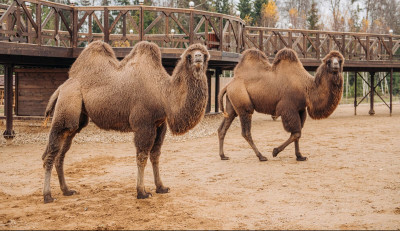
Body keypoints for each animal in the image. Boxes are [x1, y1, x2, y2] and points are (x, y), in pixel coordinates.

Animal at [41, 40, 209, 203]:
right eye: (189, 55)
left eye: (205, 55)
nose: (198, 57)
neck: (163, 93)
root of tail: (61, 87)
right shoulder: (143, 124)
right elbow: (142, 157)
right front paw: (142, 192)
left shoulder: (160, 125)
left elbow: (155, 155)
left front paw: (161, 187)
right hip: (67, 103)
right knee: (52, 151)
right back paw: (47, 196)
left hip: (78, 117)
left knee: (61, 152)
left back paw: (67, 190)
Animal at [217, 47, 346, 162]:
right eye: (329, 61)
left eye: (340, 60)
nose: (335, 65)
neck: (307, 87)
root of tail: (228, 84)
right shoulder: (288, 108)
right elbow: (296, 133)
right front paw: (275, 151)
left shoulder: (300, 109)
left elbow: (298, 133)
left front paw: (300, 156)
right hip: (243, 104)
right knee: (246, 132)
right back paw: (261, 156)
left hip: (231, 105)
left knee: (222, 127)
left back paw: (223, 156)